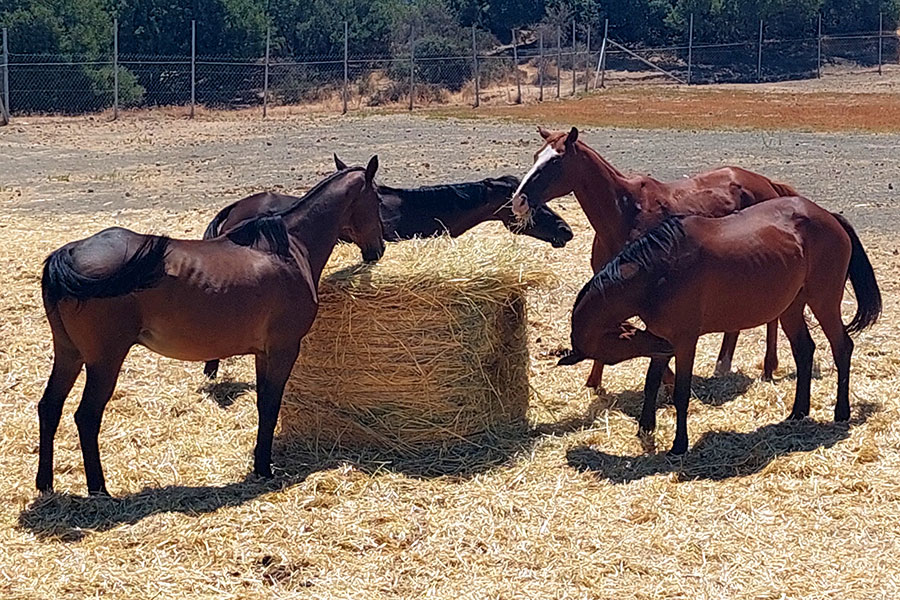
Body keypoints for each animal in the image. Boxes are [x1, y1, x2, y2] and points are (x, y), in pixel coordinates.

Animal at [36, 158, 385, 496]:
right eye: (379, 200)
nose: (378, 249)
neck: (287, 248)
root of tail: (66, 254)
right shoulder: (284, 349)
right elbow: (271, 404)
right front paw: (264, 468)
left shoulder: (263, 353)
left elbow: (263, 404)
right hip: (104, 361)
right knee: (86, 416)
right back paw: (99, 489)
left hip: (69, 354)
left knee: (49, 407)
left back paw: (45, 483)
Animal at [511, 126, 800, 390]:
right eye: (536, 155)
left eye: (555, 160)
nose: (518, 201)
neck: (626, 213)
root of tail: (768, 184)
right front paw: (594, 381)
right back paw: (725, 365)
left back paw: (767, 367)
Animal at [558, 197, 881, 455]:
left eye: (612, 353)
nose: (662, 347)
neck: (659, 269)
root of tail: (829, 216)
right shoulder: (662, 337)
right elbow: (651, 384)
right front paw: (645, 430)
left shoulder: (683, 341)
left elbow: (681, 393)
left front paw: (679, 445)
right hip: (791, 307)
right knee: (804, 352)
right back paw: (797, 412)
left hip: (824, 302)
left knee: (842, 348)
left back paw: (841, 412)